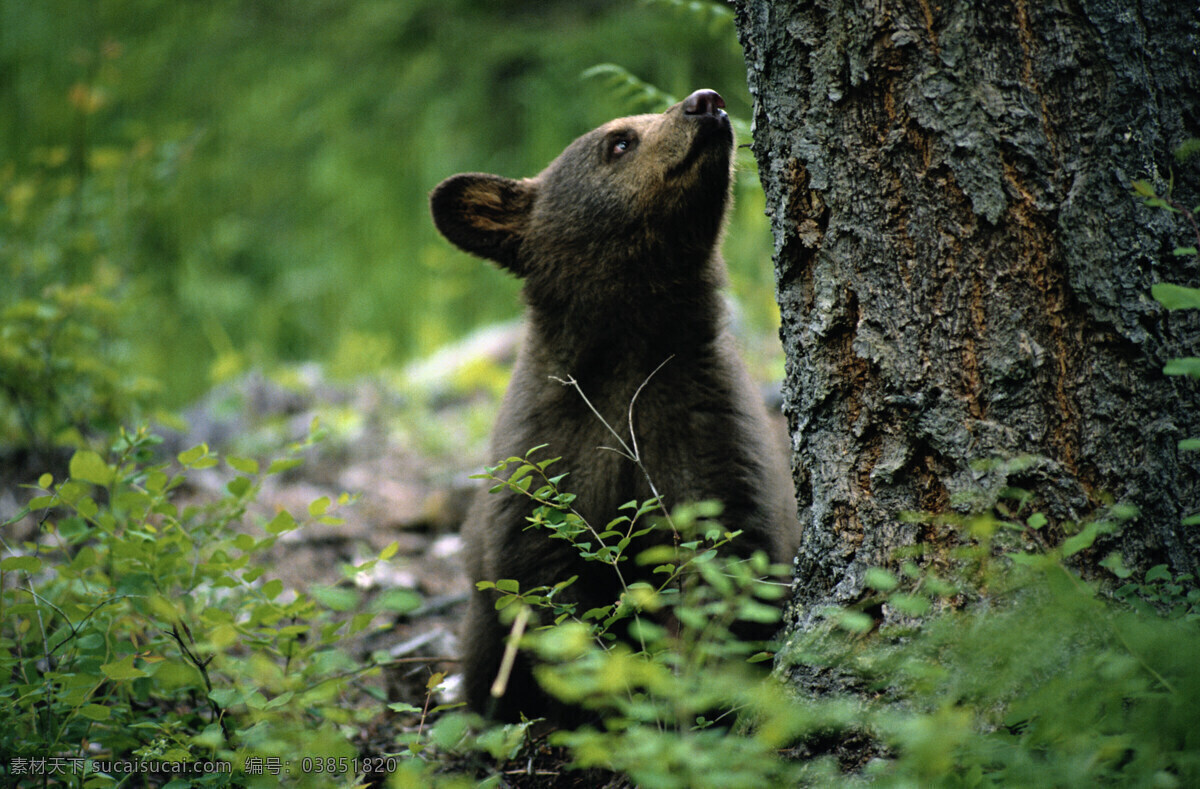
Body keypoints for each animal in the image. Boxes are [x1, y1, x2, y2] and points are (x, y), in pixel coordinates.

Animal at [429, 89, 796, 724]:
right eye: (619, 141)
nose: (708, 102)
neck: (631, 349)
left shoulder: (706, 426)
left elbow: (725, 563)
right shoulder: (548, 454)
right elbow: (551, 595)